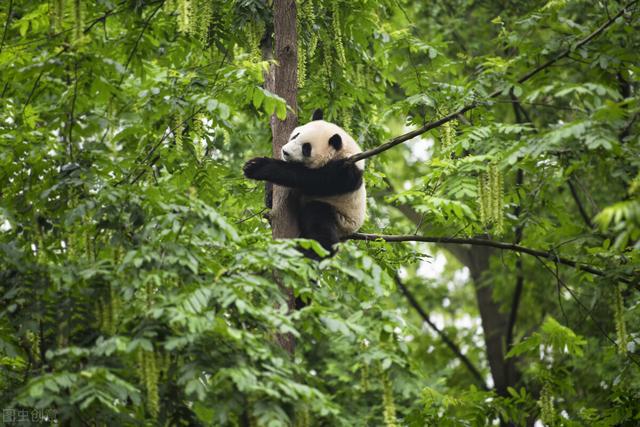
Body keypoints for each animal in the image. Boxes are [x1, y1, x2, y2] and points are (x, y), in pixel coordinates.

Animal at [244, 110, 368, 258]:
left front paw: (257, 167)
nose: (285, 152)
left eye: (306, 148)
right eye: (295, 135)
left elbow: (310, 179)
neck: (342, 151)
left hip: (341, 219)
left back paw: (311, 253)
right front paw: (269, 196)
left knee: (318, 218)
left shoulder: (345, 172)